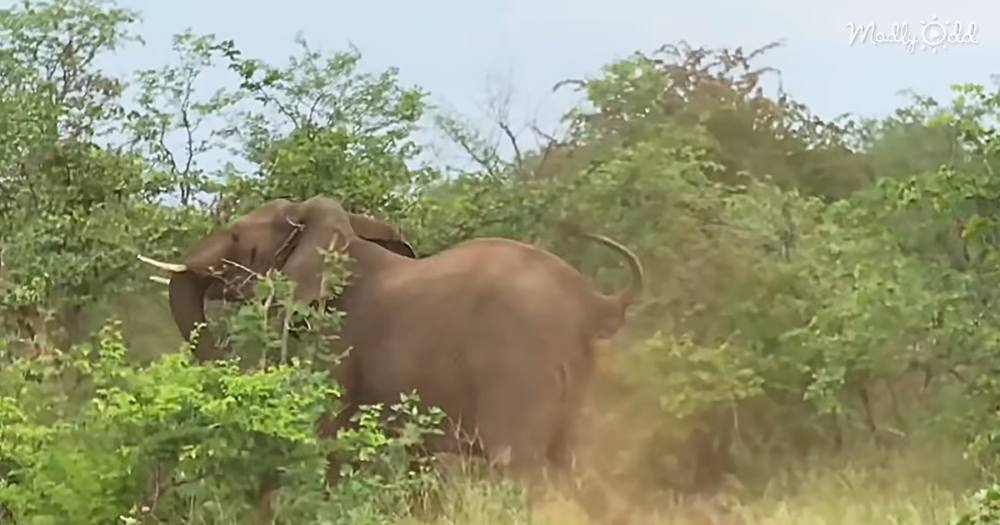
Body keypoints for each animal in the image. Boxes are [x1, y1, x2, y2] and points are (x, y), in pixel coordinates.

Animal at [137, 196, 644, 523]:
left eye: (238, 236)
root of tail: (594, 301)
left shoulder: (338, 334)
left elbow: (325, 430)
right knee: (582, 466)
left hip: (520, 361)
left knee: (524, 468)